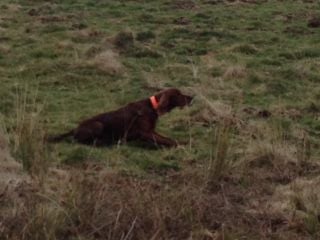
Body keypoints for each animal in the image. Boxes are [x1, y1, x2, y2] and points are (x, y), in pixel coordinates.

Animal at [50, 89, 194, 147]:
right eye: (179, 94)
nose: (192, 97)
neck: (152, 107)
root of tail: (75, 128)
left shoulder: (150, 132)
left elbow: (167, 139)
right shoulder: (145, 133)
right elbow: (169, 140)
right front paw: (182, 144)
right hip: (98, 125)